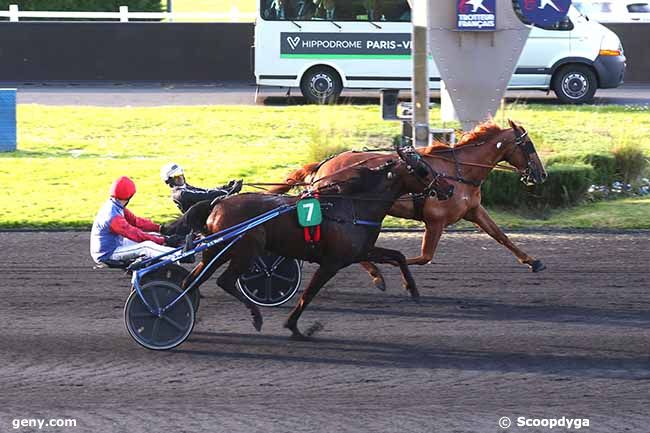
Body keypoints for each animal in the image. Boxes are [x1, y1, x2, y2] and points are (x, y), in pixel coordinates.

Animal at [176, 148, 450, 338]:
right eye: (423, 170)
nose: (448, 189)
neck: (352, 206)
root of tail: (218, 203)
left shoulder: (361, 250)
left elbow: (397, 255)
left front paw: (412, 290)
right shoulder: (332, 263)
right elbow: (308, 294)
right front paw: (294, 327)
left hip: (216, 251)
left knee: (191, 280)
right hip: (246, 251)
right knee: (223, 280)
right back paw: (255, 317)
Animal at [268, 118, 548, 290]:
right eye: (528, 145)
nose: (542, 174)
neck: (458, 172)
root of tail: (323, 165)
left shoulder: (473, 210)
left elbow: (500, 236)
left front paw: (534, 261)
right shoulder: (435, 220)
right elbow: (424, 257)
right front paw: (390, 265)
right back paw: (375, 273)